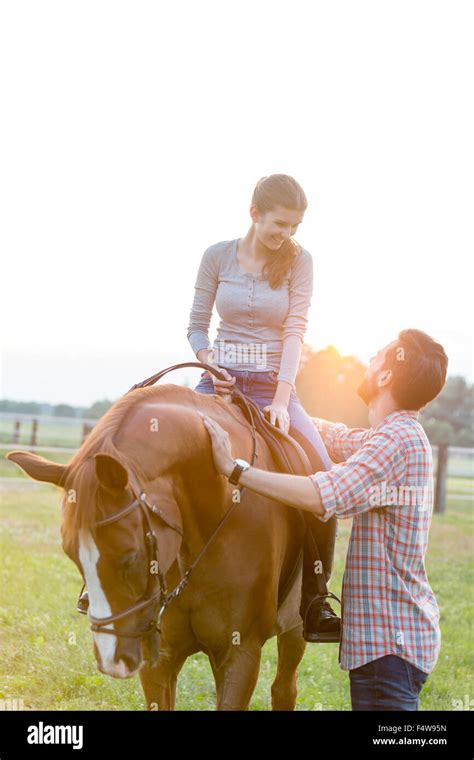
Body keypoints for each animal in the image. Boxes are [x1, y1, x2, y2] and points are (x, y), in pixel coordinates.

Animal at [8, 386, 312, 712]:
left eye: (130, 556)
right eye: (71, 554)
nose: (112, 660)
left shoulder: (241, 654)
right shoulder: (160, 657)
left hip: (295, 629)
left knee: (284, 687)